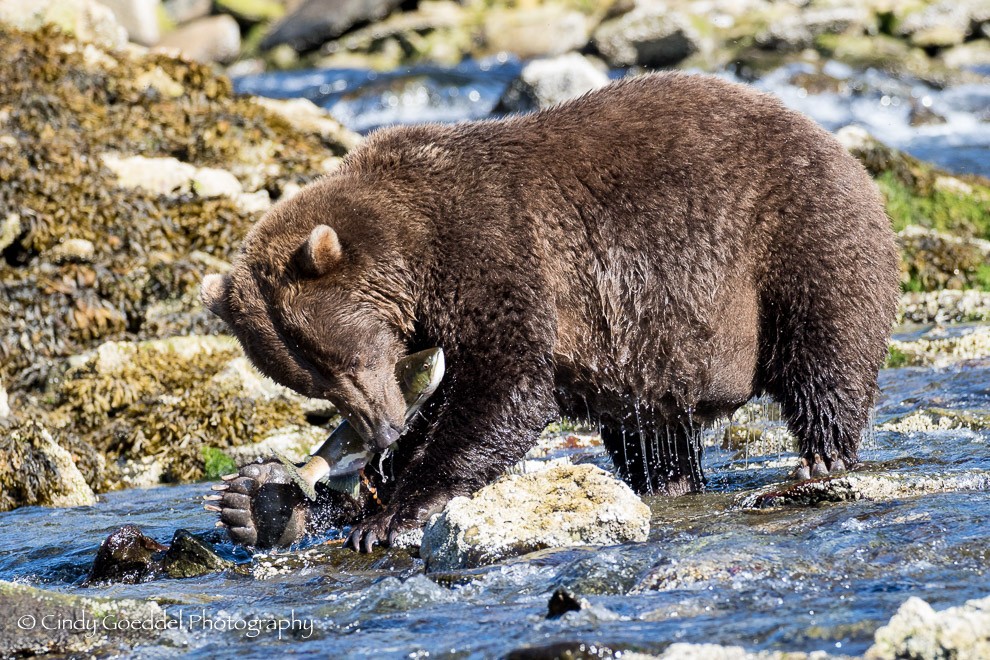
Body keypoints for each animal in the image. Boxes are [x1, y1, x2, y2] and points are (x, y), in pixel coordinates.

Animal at [198, 72, 904, 552]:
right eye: (311, 380)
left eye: (342, 358)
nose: (381, 431)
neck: (417, 252)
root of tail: (837, 144)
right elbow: (457, 393)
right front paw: (257, 503)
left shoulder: (496, 249)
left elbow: (506, 384)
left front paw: (395, 513)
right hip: (651, 356)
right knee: (654, 432)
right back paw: (670, 483)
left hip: (798, 241)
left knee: (825, 355)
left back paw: (817, 463)